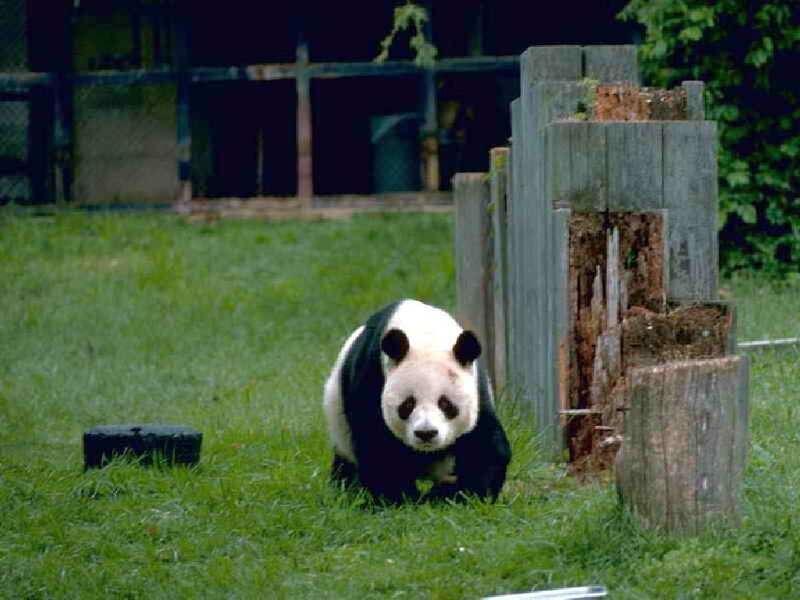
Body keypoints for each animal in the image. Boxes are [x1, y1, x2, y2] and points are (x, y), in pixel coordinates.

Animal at [323, 299, 511, 504]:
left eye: (446, 404)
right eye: (407, 404)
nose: (426, 433)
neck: (425, 336)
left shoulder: (478, 390)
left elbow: (484, 445)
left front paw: (461, 495)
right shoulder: (370, 377)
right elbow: (378, 449)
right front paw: (399, 499)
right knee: (346, 464)